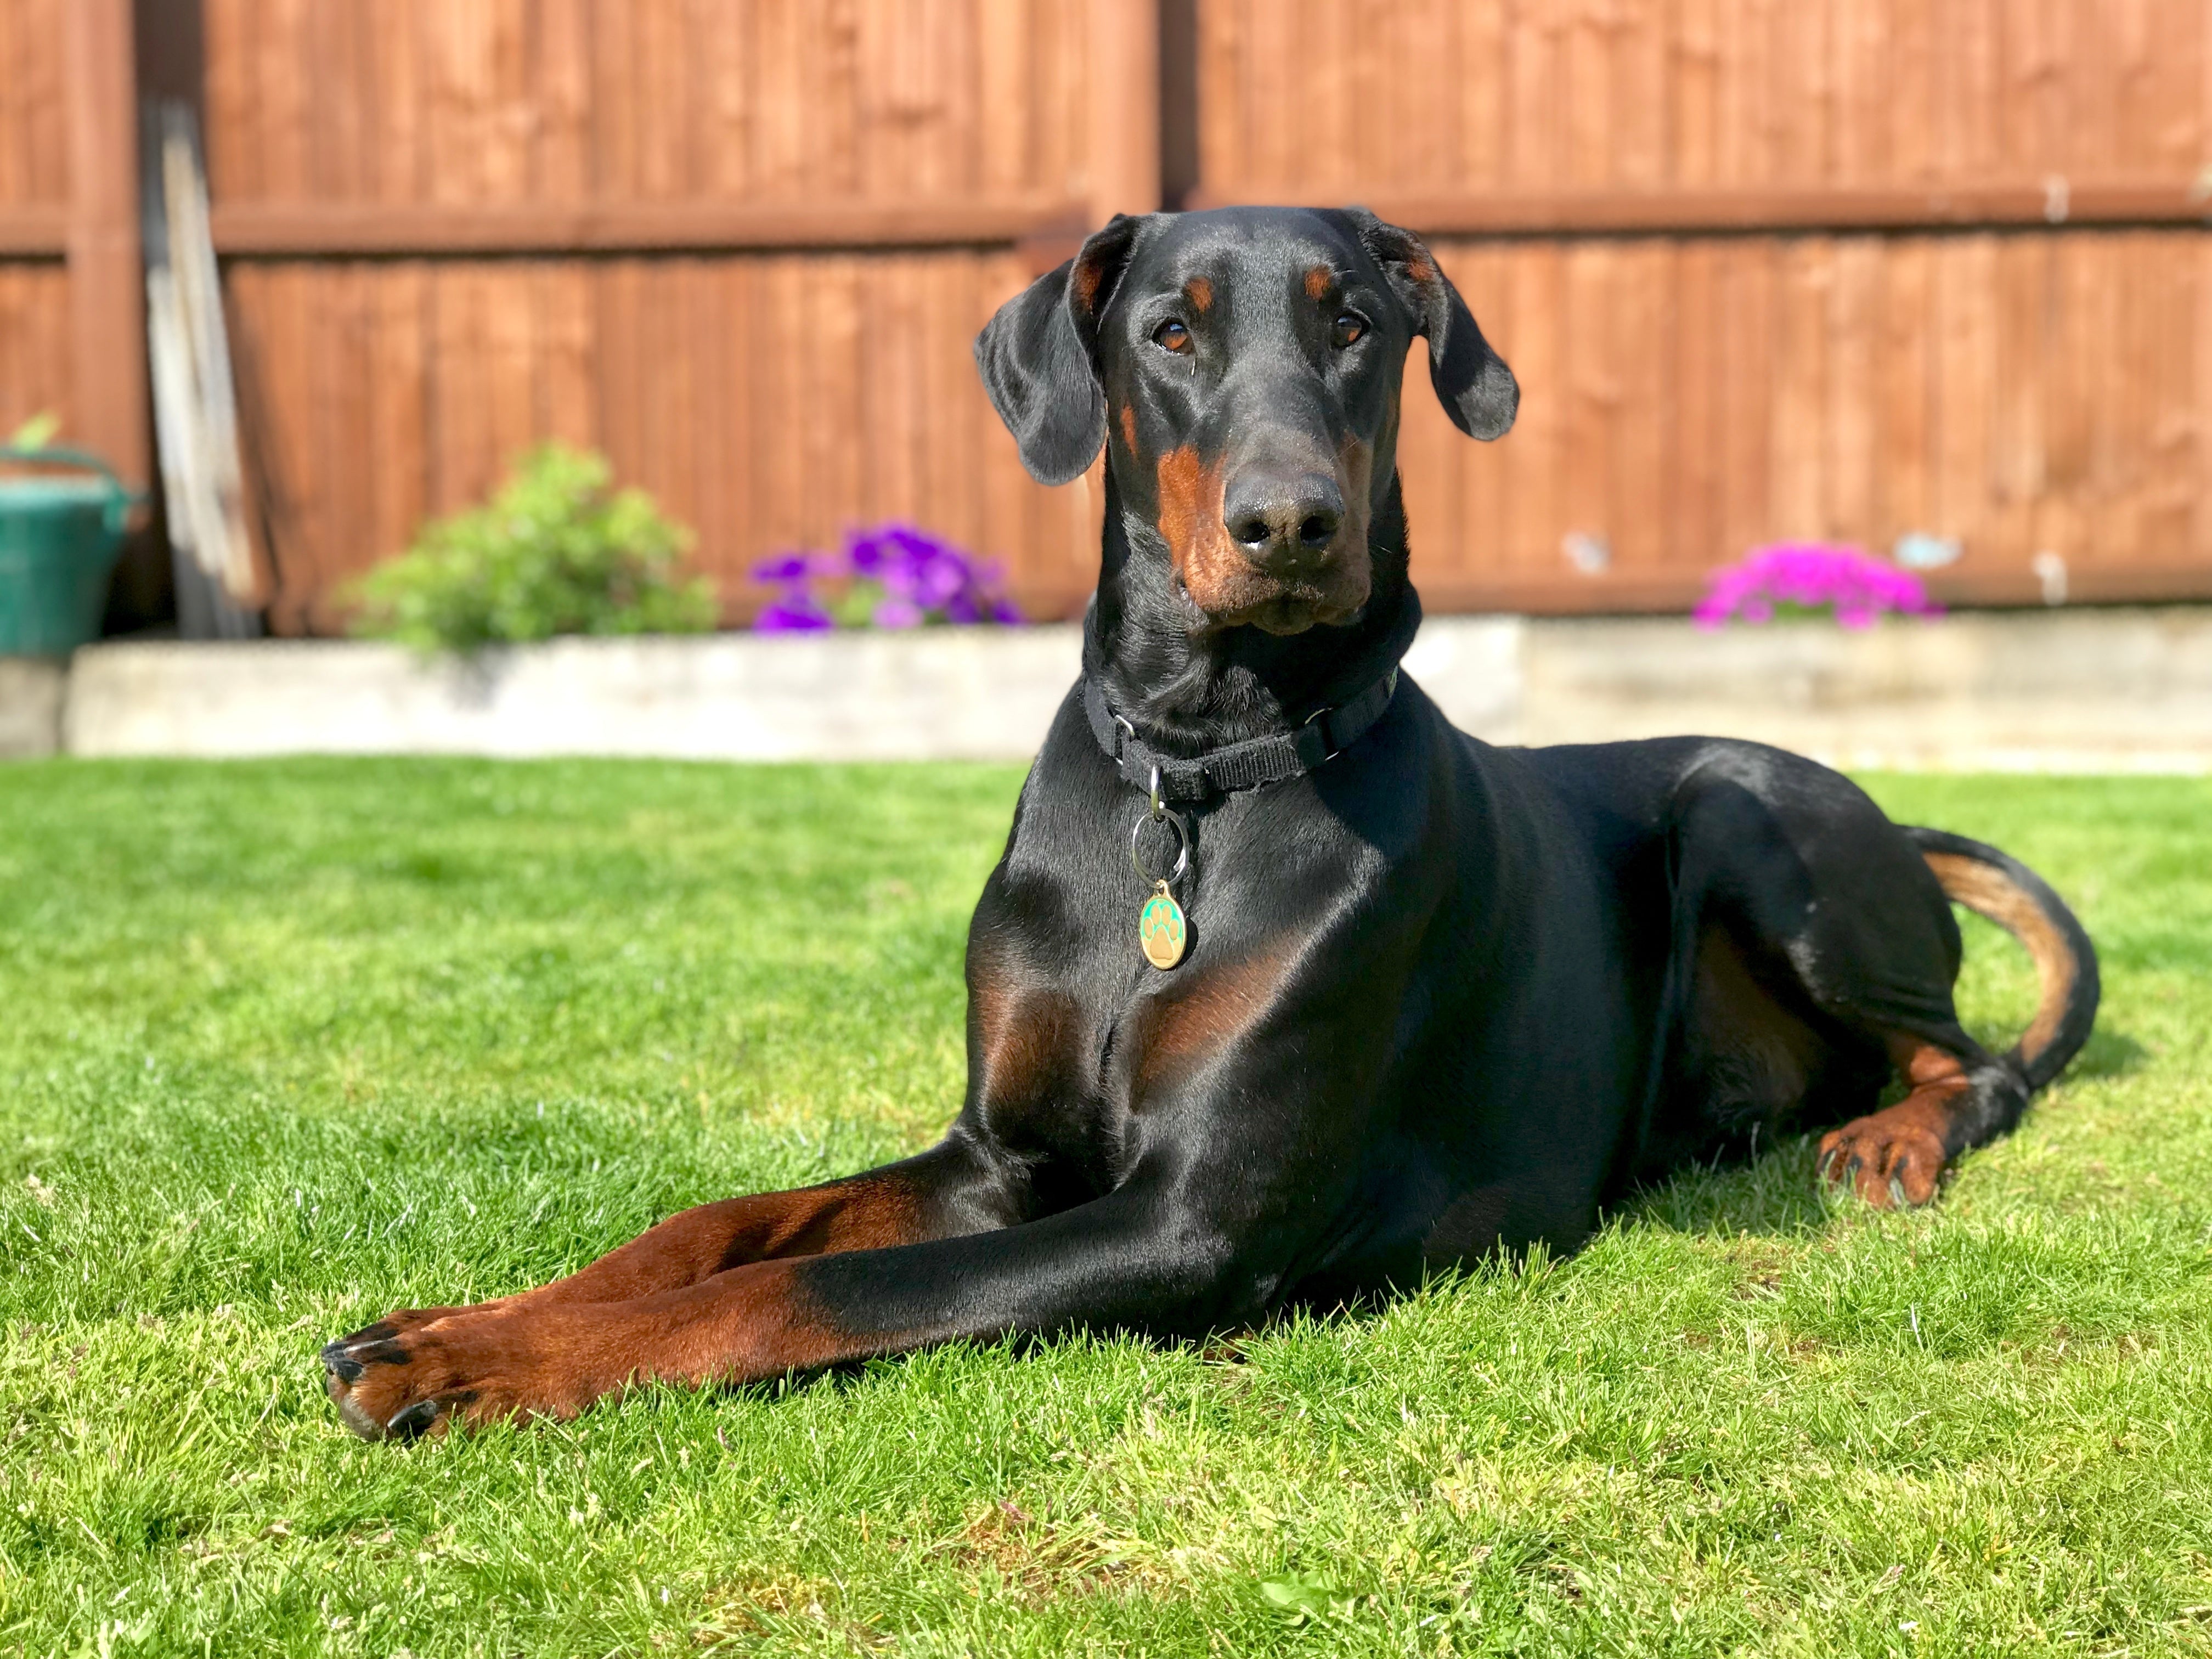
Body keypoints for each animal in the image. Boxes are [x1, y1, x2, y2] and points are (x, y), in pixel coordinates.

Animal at [320, 208, 2097, 1433]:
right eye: (1170, 332)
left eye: (1359, 324)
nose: (1289, 521)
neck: (1194, 775)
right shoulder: (1003, 1155)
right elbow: (724, 1227)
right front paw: (464, 1328)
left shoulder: (1190, 1224)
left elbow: (808, 1286)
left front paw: (480, 1372)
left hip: (1745, 809)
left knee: (1978, 1061)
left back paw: (1894, 1143)